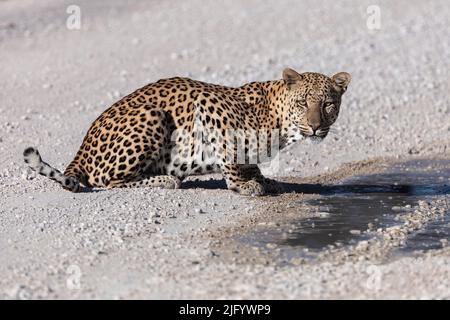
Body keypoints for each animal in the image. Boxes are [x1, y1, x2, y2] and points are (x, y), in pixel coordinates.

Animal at [22, 68, 352, 195]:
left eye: (328, 104)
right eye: (303, 102)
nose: (316, 126)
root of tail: (83, 146)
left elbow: (252, 165)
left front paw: (265, 179)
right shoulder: (209, 105)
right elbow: (231, 157)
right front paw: (243, 185)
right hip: (151, 115)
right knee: (106, 180)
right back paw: (165, 179)